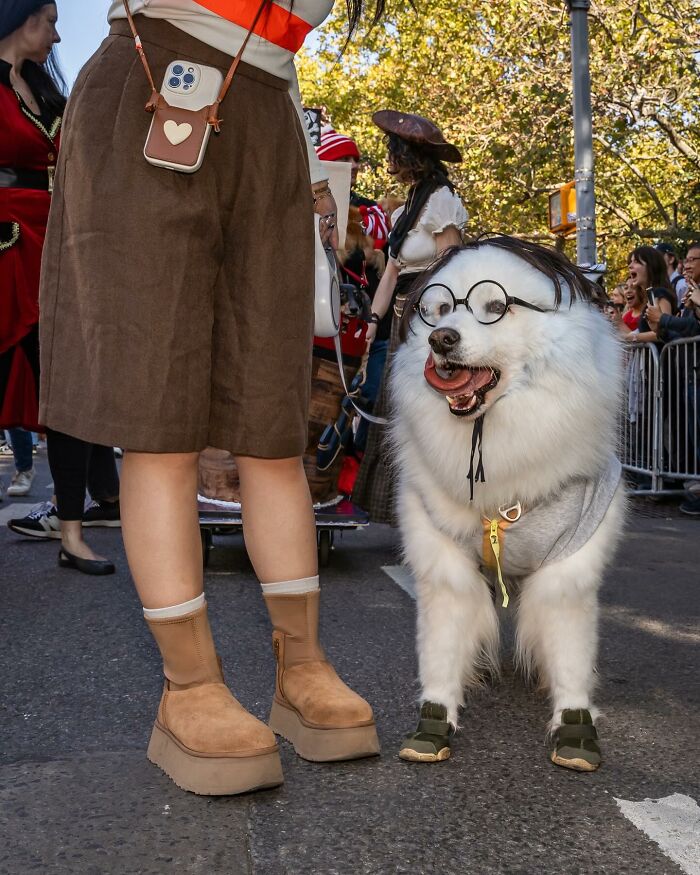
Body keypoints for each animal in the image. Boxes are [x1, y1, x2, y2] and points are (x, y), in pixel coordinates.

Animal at [392, 236, 628, 768]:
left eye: (495, 307)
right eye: (440, 310)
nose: (441, 339)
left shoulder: (568, 568)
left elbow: (570, 655)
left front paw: (575, 727)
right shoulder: (443, 560)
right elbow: (441, 648)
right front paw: (434, 722)